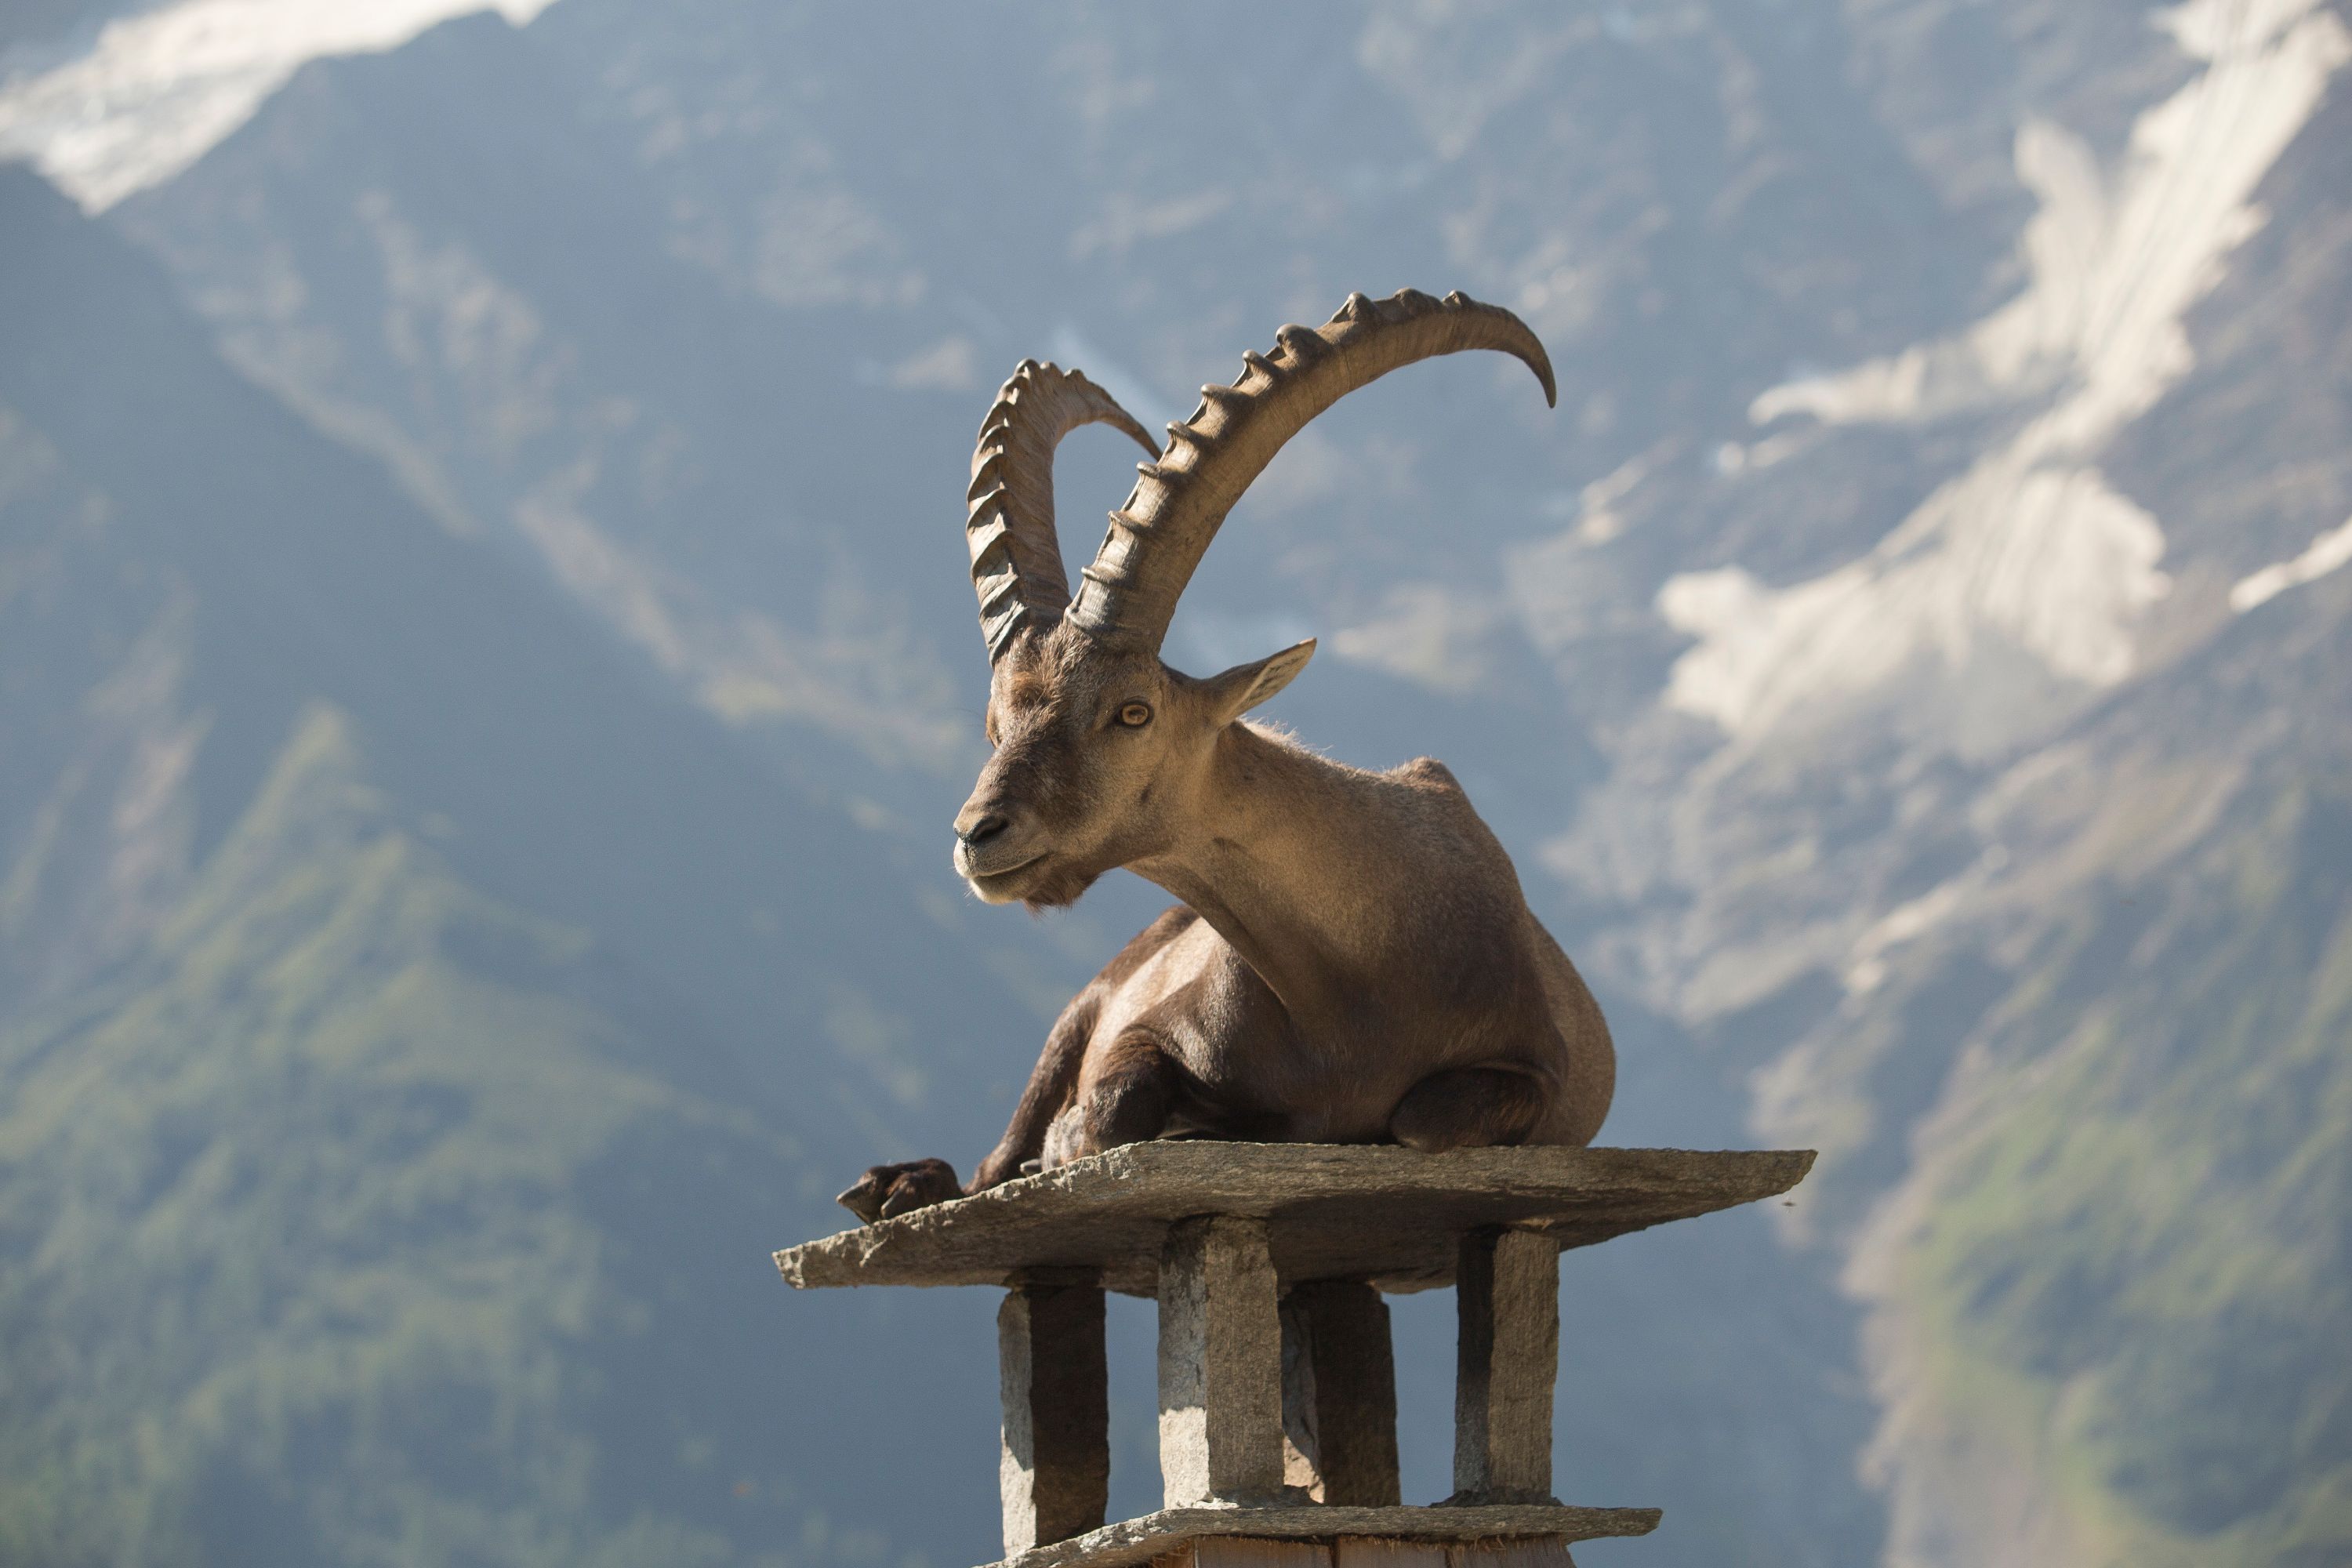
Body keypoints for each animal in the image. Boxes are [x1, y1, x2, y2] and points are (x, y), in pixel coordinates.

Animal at [839, 289, 1614, 1224]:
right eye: (996, 725)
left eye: (1133, 712)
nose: (977, 834)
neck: (1354, 988)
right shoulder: (1144, 1023)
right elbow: (1115, 1098)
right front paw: (1097, 1135)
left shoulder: (1536, 1068)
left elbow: (1421, 1117)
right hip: (1081, 1006)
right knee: (992, 1161)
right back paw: (900, 1183)